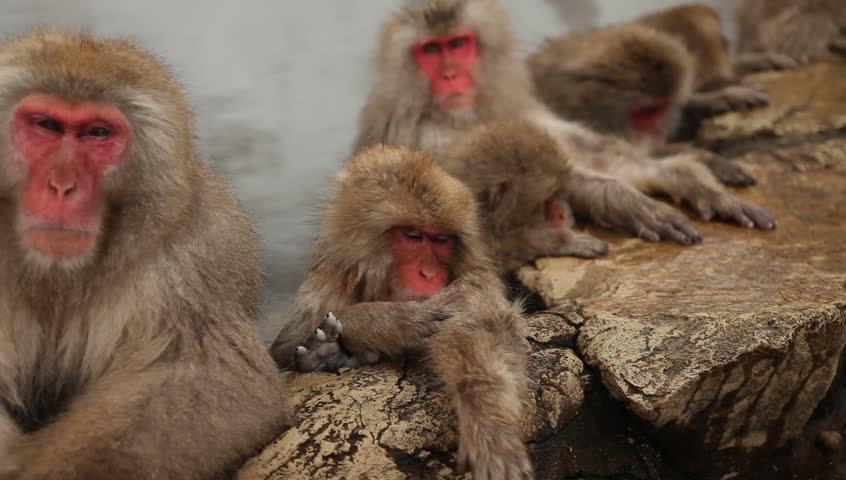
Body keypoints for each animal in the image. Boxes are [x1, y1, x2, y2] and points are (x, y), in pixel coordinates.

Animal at [0, 31, 290, 480]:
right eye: (46, 126)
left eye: (97, 133)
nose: (62, 186)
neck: (56, 275)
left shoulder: (199, 250)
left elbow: (198, 375)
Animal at [270, 145, 534, 479]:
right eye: (412, 236)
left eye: (441, 240)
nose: (428, 273)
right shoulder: (327, 278)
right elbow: (281, 350)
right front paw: (385, 322)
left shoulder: (474, 278)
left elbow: (482, 325)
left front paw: (489, 421)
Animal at [354, 0, 775, 245]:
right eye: (429, 50)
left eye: (458, 44)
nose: (450, 75)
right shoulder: (424, 132)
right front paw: (627, 201)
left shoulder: (511, 102)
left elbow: (572, 152)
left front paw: (686, 176)